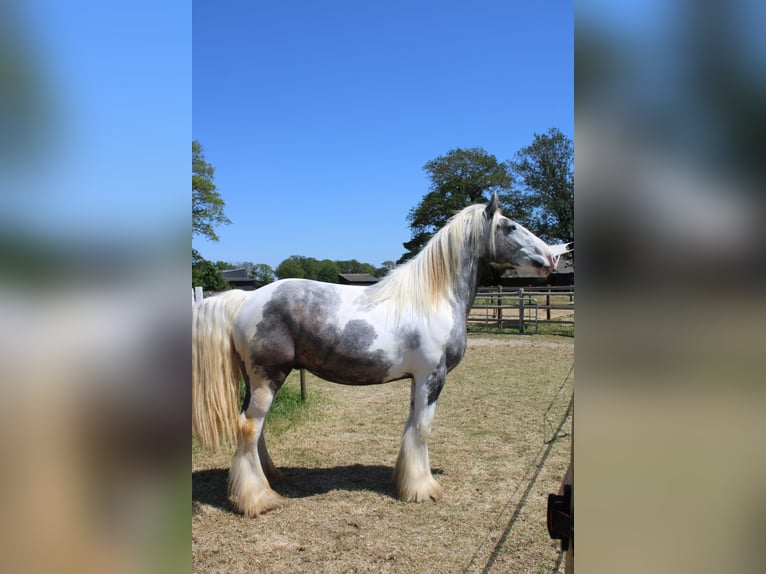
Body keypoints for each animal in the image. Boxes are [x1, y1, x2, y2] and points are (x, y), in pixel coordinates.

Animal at [194, 192, 568, 516]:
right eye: (510, 226)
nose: (552, 258)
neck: (432, 297)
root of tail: (247, 298)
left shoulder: (417, 380)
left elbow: (411, 427)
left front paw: (407, 481)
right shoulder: (432, 377)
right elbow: (422, 429)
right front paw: (423, 489)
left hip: (257, 381)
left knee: (255, 429)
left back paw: (271, 480)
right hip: (268, 377)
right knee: (248, 427)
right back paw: (256, 500)